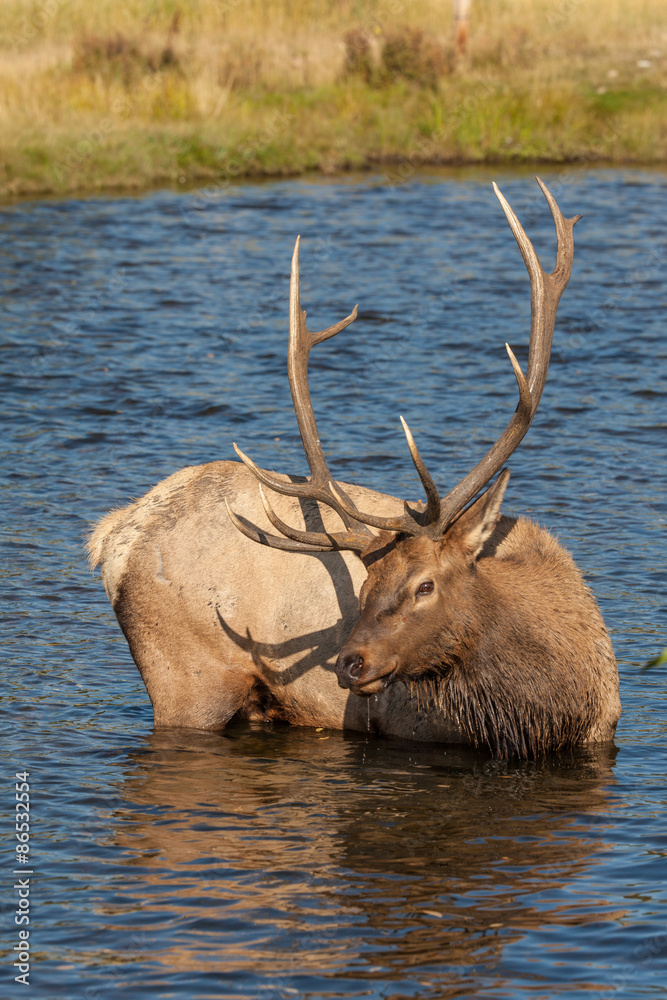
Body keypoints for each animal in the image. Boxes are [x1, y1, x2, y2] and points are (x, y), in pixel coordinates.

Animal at [89, 178, 621, 758]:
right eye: (363, 592)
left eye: (424, 586)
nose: (348, 663)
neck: (548, 713)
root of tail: (115, 537)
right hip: (187, 681)